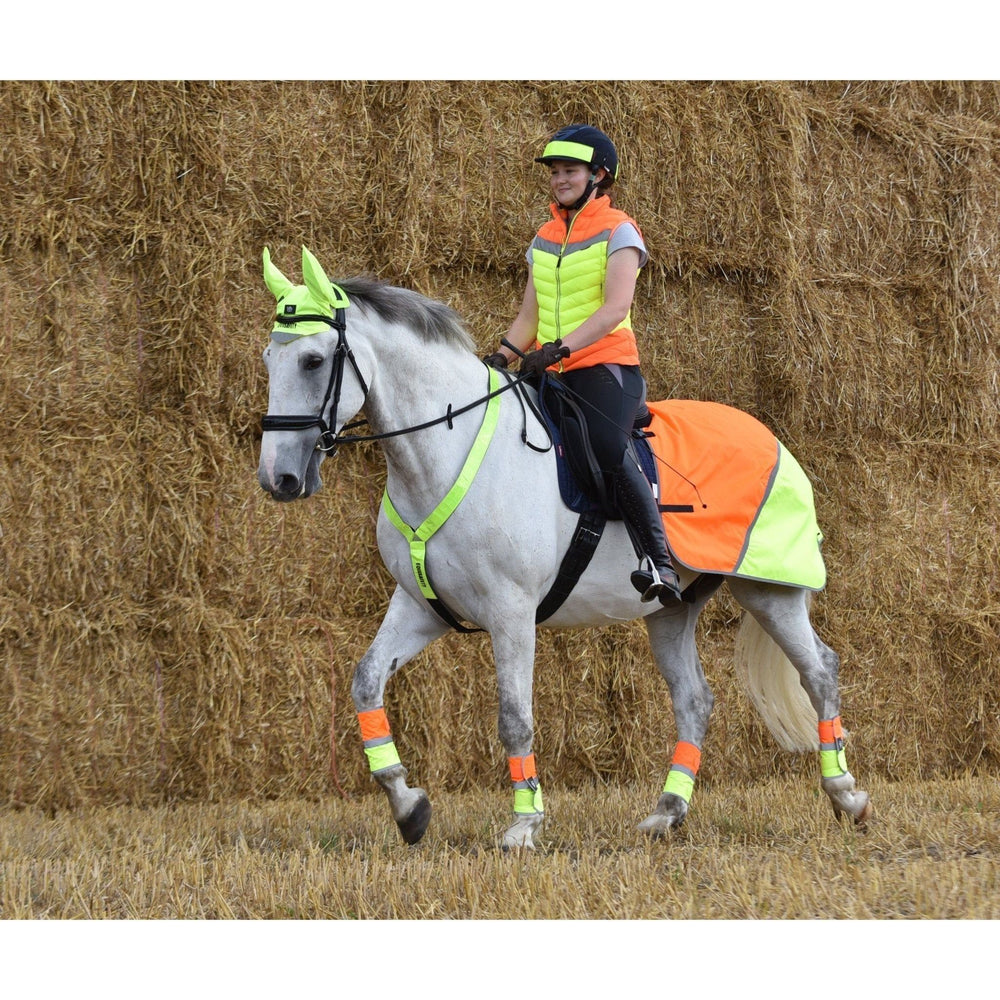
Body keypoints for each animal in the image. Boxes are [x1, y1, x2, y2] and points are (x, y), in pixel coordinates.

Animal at [256, 246, 872, 849]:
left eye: (312, 361)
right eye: (268, 359)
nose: (278, 479)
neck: (445, 453)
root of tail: (771, 438)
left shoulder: (510, 611)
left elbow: (514, 717)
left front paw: (524, 825)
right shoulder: (419, 605)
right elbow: (365, 682)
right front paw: (409, 808)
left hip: (769, 589)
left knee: (819, 671)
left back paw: (846, 795)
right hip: (672, 607)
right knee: (695, 699)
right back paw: (666, 813)